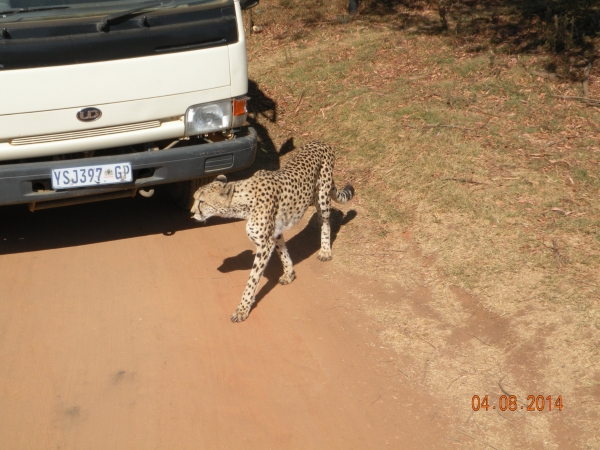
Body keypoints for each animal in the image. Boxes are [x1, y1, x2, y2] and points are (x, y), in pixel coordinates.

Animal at [191, 142, 352, 322]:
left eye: (201, 201)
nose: (192, 212)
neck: (242, 202)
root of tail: (321, 142)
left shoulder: (264, 244)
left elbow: (252, 279)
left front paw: (242, 309)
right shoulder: (275, 232)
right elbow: (282, 252)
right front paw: (289, 273)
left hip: (322, 195)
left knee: (325, 221)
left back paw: (325, 250)